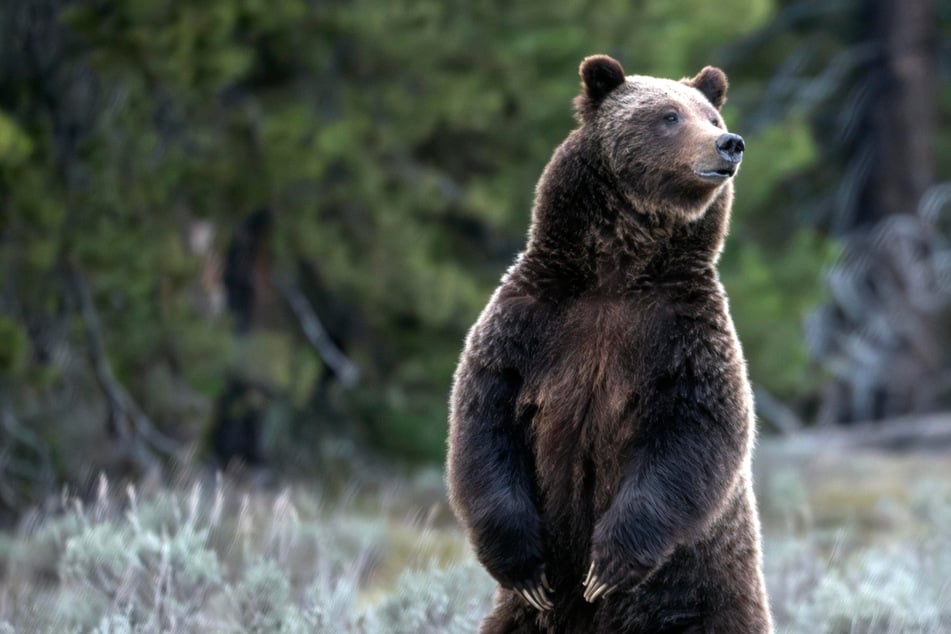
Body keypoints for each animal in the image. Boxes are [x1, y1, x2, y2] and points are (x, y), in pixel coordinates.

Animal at [446, 55, 772, 634]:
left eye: (711, 115)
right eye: (669, 116)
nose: (729, 143)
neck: (616, 273)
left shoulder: (684, 333)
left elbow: (695, 432)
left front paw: (607, 566)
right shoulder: (531, 321)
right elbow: (485, 421)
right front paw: (526, 569)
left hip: (706, 590)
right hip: (522, 620)